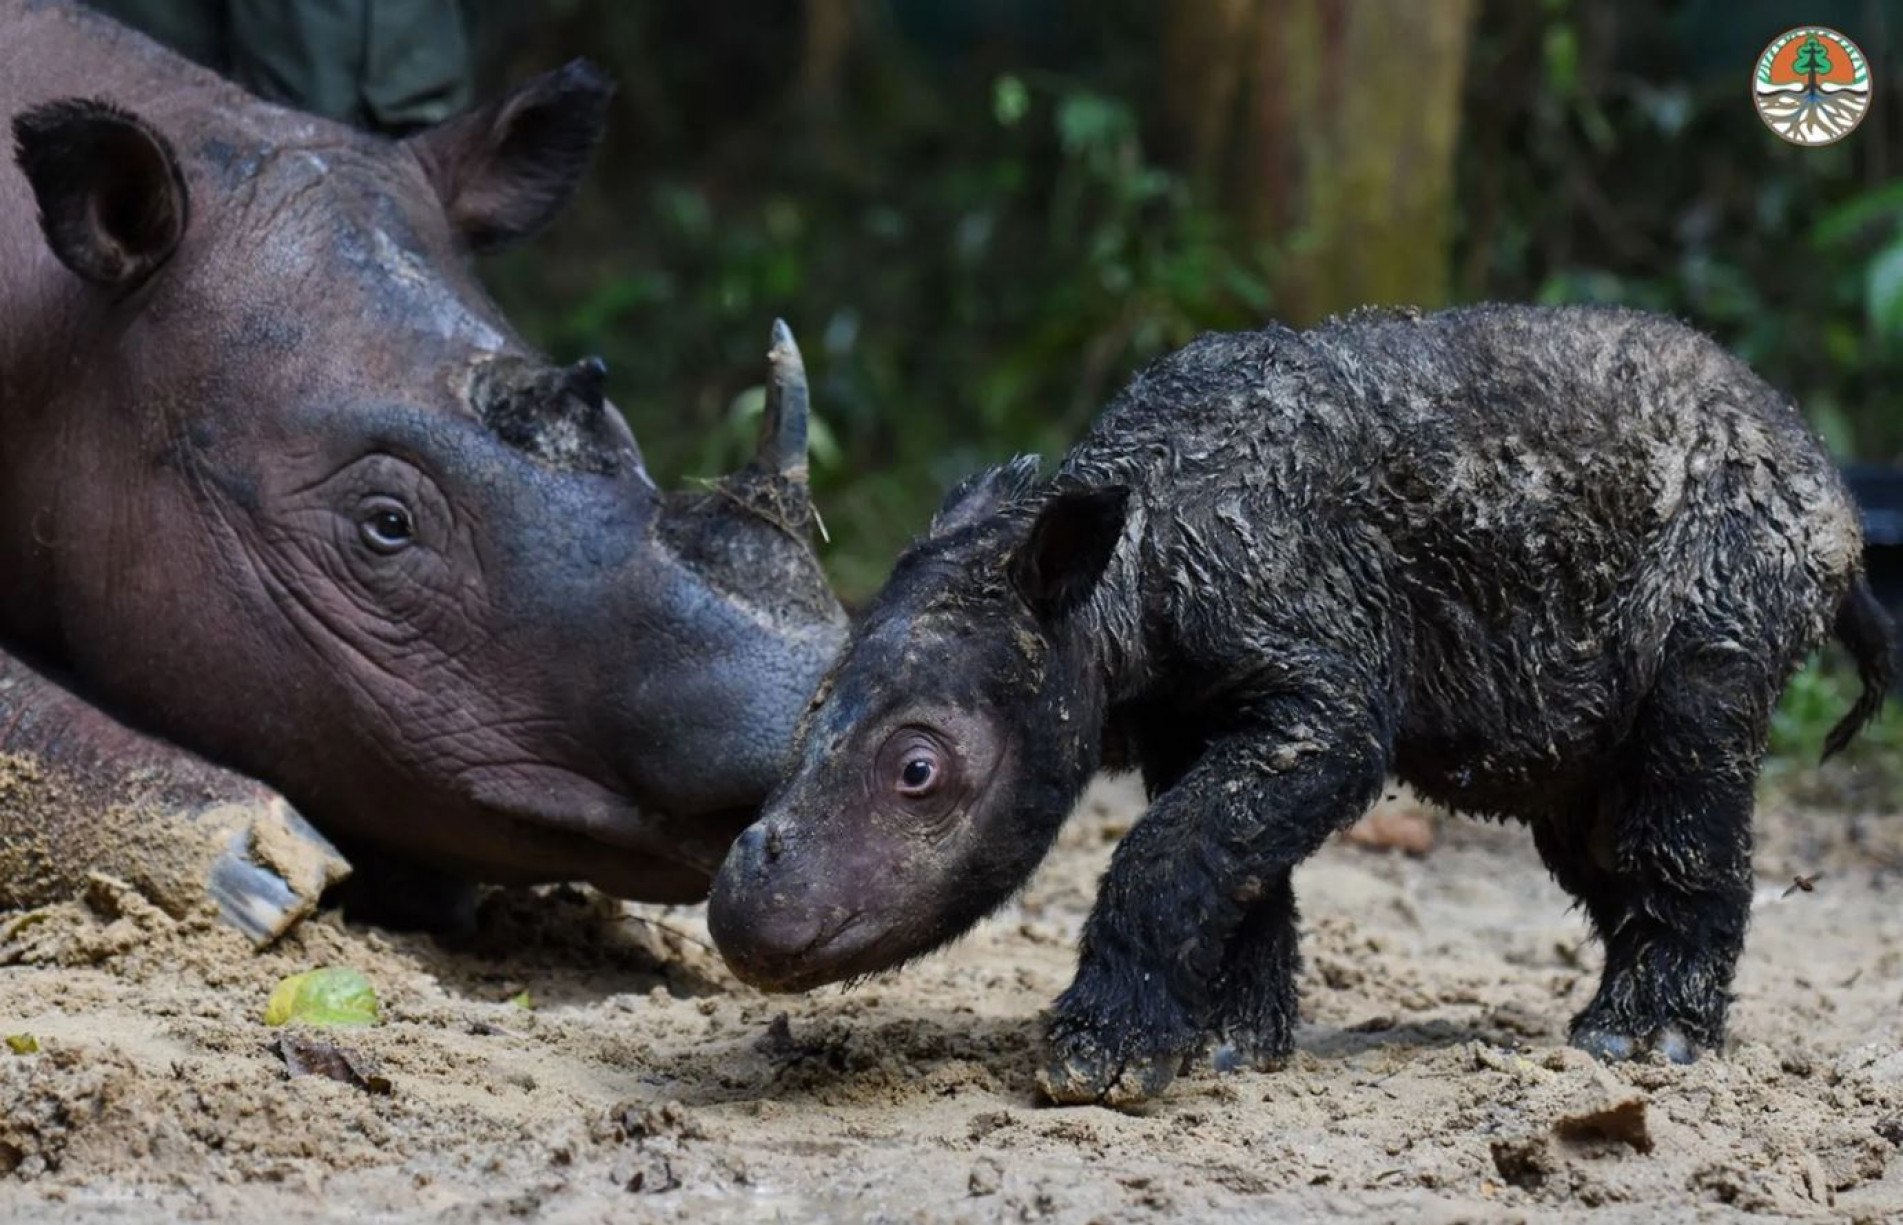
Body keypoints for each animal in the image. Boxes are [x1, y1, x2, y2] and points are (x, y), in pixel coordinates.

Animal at [711, 300, 1887, 1103]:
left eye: (918, 771)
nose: (738, 912)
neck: (1115, 577)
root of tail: (1831, 486)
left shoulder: (1320, 693)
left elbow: (1168, 849)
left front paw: (1098, 1066)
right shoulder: (1193, 711)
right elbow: (1230, 860)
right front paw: (1225, 1049)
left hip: (1739, 563)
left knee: (1683, 755)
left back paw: (1639, 1048)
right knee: (1590, 812)